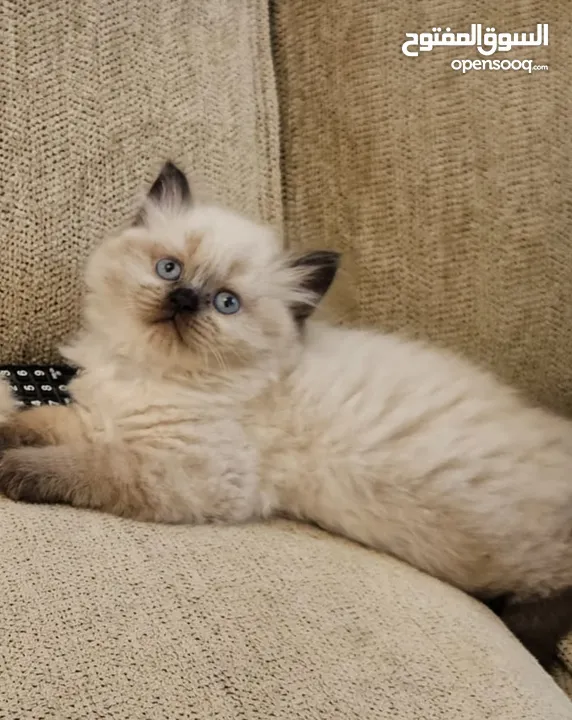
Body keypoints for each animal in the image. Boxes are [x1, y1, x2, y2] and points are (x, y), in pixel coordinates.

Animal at [1, 163, 572, 668]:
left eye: (226, 303)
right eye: (170, 268)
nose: (184, 298)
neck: (147, 371)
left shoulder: (186, 473)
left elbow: (84, 465)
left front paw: (13, 471)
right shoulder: (101, 419)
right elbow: (42, 424)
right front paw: (10, 429)